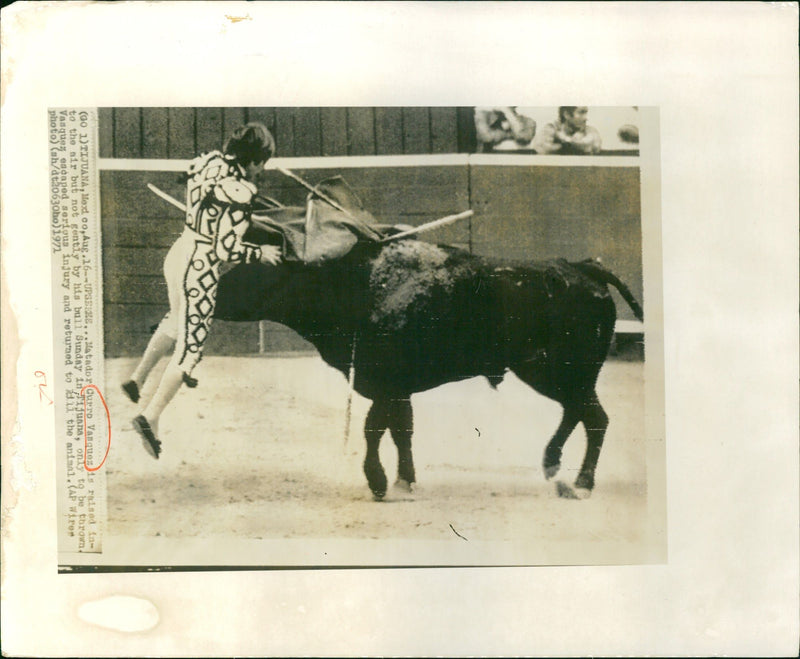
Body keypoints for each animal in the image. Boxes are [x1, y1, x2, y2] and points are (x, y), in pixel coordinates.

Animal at [214, 219, 644, 498]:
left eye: (246, 264)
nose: (211, 295)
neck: (353, 281)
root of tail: (581, 267)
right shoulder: (396, 387)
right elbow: (402, 429)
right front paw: (405, 479)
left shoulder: (385, 381)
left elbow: (374, 428)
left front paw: (378, 481)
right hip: (555, 373)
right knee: (578, 412)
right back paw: (553, 464)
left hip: (559, 371)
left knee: (595, 417)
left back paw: (582, 483)